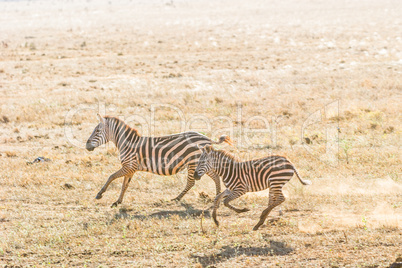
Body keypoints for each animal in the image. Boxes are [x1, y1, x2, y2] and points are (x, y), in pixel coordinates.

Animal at [85, 114, 232, 208]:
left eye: (97, 131)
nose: (86, 146)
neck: (127, 144)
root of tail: (207, 138)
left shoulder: (129, 166)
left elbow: (111, 177)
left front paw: (100, 194)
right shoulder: (130, 169)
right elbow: (124, 185)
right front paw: (118, 201)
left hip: (193, 163)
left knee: (191, 182)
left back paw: (177, 198)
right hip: (200, 164)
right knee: (215, 177)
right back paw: (216, 197)